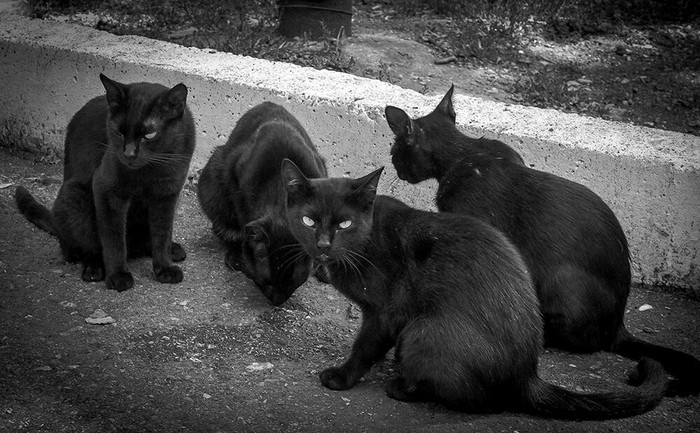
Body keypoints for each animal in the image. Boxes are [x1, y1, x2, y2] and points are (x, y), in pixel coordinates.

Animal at [16, 73, 197, 290]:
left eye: (149, 134)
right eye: (119, 132)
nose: (128, 154)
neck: (149, 171)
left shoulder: (167, 194)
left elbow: (162, 234)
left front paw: (164, 268)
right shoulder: (106, 189)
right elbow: (113, 238)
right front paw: (118, 275)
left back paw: (173, 249)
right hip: (75, 196)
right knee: (87, 248)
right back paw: (94, 268)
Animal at [280, 159, 668, 418]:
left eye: (344, 224)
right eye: (308, 220)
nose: (323, 244)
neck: (366, 241)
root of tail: (527, 375)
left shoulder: (385, 312)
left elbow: (365, 346)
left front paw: (342, 377)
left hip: (424, 331)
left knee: (482, 402)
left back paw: (403, 386)